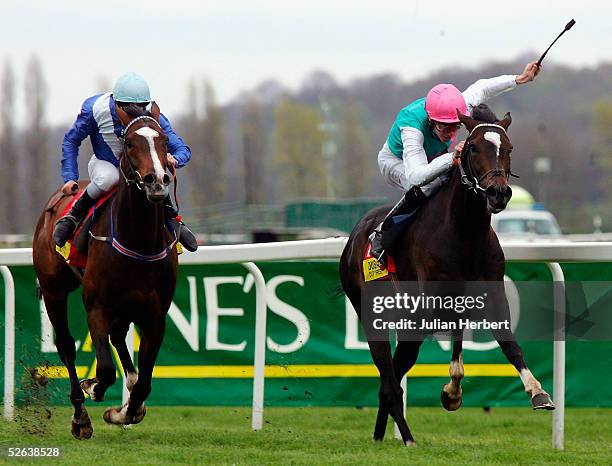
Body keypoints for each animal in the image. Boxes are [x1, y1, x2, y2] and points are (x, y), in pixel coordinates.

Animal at [32, 104, 178, 438]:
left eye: (164, 141)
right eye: (129, 143)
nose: (157, 181)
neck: (138, 240)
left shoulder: (155, 316)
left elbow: (145, 383)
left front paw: (124, 412)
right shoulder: (96, 306)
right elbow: (106, 369)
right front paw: (95, 388)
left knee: (119, 338)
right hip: (53, 290)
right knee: (66, 347)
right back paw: (80, 415)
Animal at [340, 110, 556, 448]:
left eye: (509, 148)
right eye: (473, 148)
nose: (498, 193)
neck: (465, 231)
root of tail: (353, 238)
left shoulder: (487, 292)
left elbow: (507, 342)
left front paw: (538, 392)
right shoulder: (433, 301)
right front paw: (450, 393)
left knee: (392, 375)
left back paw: (379, 436)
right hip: (371, 313)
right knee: (389, 377)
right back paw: (407, 438)